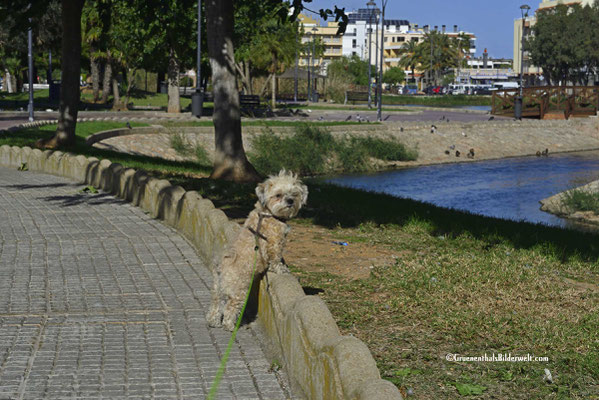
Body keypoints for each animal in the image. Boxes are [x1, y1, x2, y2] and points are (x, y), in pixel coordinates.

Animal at [207, 170, 310, 330]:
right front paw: (281, 269)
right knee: (230, 308)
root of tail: (220, 266)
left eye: (294, 194)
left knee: (216, 305)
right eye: (278, 195)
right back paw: (230, 325)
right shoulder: (275, 243)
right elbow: (276, 258)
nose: (290, 201)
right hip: (239, 291)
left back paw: (214, 322)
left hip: (218, 289)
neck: (267, 213)